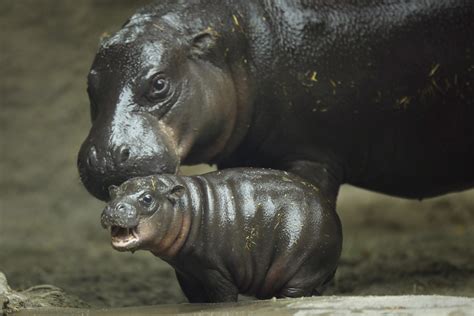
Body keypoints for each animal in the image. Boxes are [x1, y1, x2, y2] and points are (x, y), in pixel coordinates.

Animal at [102, 169, 342, 302]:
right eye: (113, 193)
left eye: (147, 198)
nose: (112, 207)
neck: (190, 207)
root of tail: (334, 215)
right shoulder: (187, 273)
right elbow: (197, 299)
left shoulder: (217, 273)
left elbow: (223, 299)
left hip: (301, 272)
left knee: (293, 294)